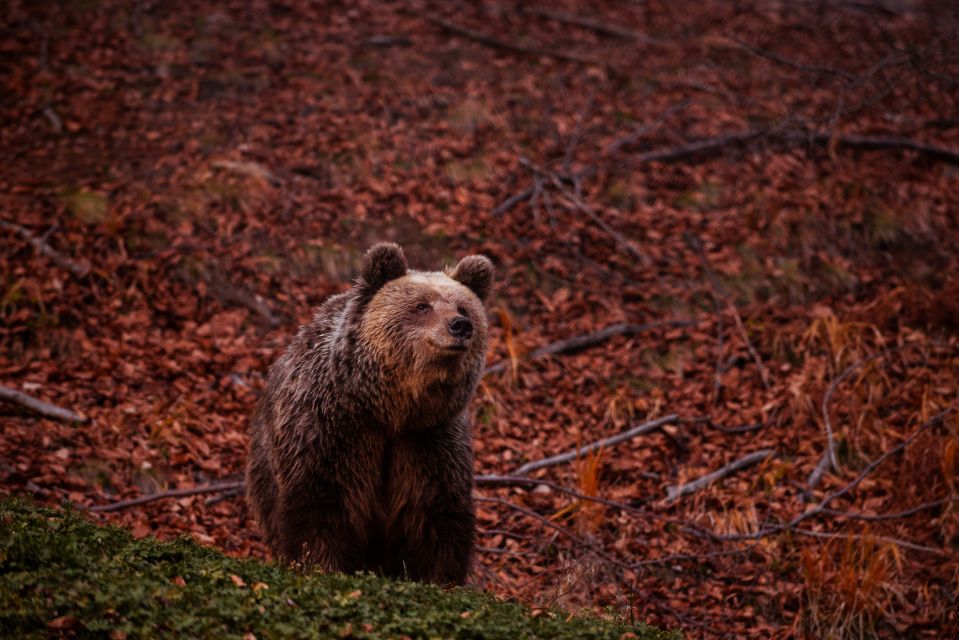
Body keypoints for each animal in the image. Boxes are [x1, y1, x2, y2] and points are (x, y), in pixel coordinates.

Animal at [248, 241, 492, 584]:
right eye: (422, 306)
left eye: (463, 308)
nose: (460, 326)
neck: (389, 410)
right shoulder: (331, 430)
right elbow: (322, 503)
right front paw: (321, 565)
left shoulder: (429, 442)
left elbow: (436, 515)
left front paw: (440, 578)